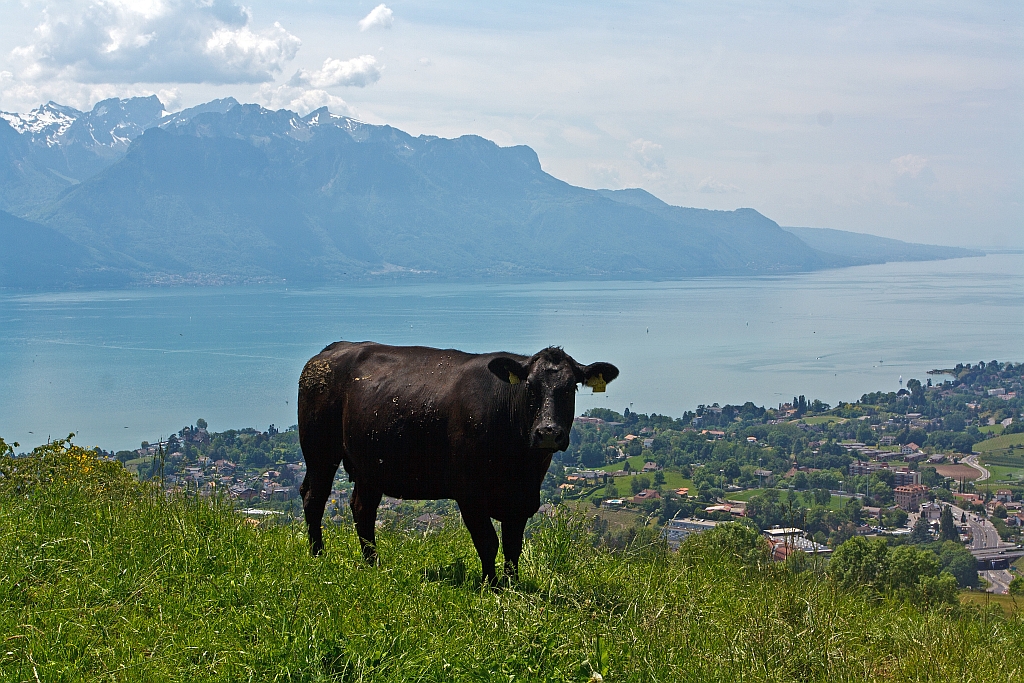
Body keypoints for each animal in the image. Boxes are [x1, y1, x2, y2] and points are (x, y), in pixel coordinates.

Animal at [297, 341, 618, 583]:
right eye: (530, 388)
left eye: (570, 388)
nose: (548, 432)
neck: (520, 465)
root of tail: (331, 350)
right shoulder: (469, 493)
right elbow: (488, 542)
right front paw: (492, 586)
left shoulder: (521, 499)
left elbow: (513, 546)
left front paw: (513, 586)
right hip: (319, 451)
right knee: (314, 497)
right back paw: (318, 556)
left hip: (370, 465)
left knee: (362, 509)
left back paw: (373, 564)